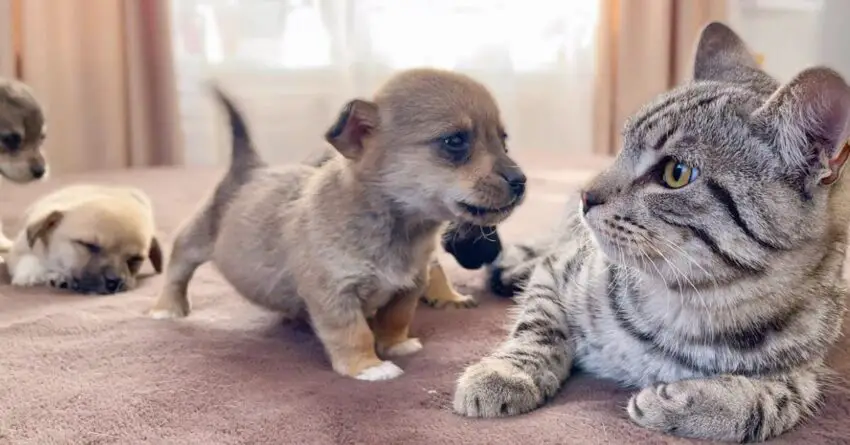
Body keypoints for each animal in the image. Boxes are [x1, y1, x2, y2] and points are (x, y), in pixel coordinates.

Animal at [7, 185, 162, 294]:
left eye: (136, 259)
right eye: (89, 245)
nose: (115, 282)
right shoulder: (18, 248)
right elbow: (28, 259)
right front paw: (30, 275)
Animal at [149, 67, 528, 380]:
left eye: (504, 141)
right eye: (455, 141)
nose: (521, 181)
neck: (399, 227)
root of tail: (250, 169)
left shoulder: (409, 286)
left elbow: (396, 318)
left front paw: (396, 345)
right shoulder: (334, 294)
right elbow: (353, 333)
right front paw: (368, 367)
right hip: (196, 239)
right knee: (178, 267)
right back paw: (167, 309)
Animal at [454, 21, 848, 440]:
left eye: (676, 173)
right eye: (622, 147)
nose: (586, 195)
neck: (691, 305)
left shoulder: (802, 377)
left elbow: (762, 404)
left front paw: (687, 402)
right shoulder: (558, 272)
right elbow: (537, 327)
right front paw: (506, 374)